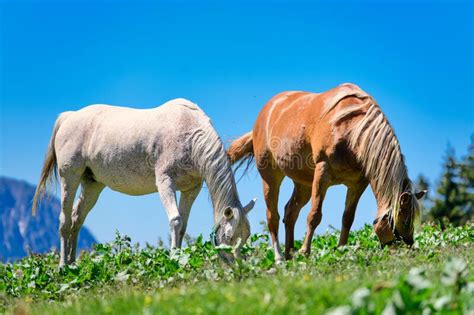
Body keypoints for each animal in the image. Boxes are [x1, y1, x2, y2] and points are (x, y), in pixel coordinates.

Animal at [32, 99, 256, 266]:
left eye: (246, 237)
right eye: (229, 237)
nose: (238, 266)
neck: (190, 134)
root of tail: (69, 116)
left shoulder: (191, 189)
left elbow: (183, 225)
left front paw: (180, 256)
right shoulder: (165, 182)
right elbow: (175, 220)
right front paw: (174, 258)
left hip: (92, 185)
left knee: (77, 218)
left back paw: (72, 263)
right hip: (69, 178)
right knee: (65, 220)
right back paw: (63, 265)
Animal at [229, 83, 426, 262]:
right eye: (404, 221)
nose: (409, 250)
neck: (352, 129)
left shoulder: (357, 184)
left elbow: (348, 218)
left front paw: (341, 250)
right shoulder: (322, 172)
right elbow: (314, 216)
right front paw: (305, 252)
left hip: (303, 184)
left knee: (290, 212)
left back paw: (289, 255)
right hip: (271, 177)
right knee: (273, 217)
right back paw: (279, 258)